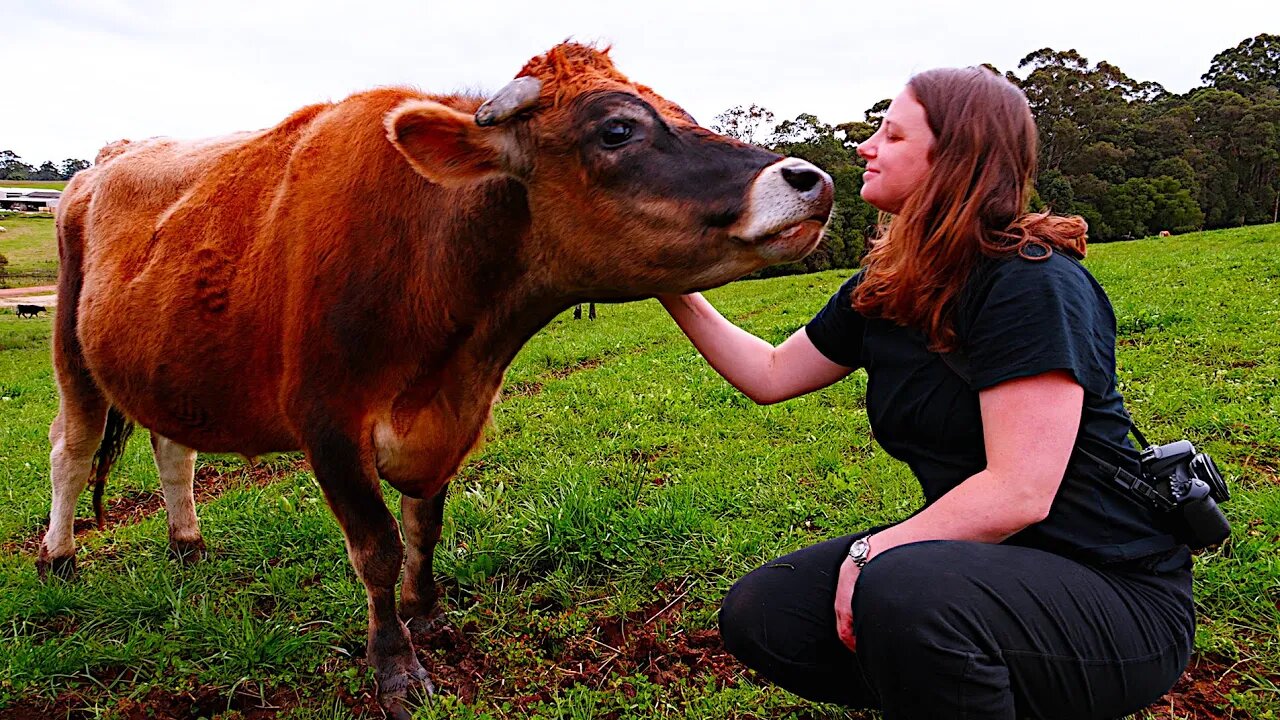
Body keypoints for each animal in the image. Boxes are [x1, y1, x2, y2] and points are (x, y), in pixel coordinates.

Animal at [40, 41, 834, 712]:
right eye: (616, 131)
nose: (811, 178)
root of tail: (107, 159)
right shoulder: (328, 424)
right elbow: (378, 548)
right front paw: (394, 665)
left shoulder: (450, 417)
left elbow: (425, 526)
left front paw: (428, 616)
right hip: (71, 351)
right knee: (70, 449)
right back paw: (58, 558)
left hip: (171, 367)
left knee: (173, 448)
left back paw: (188, 543)